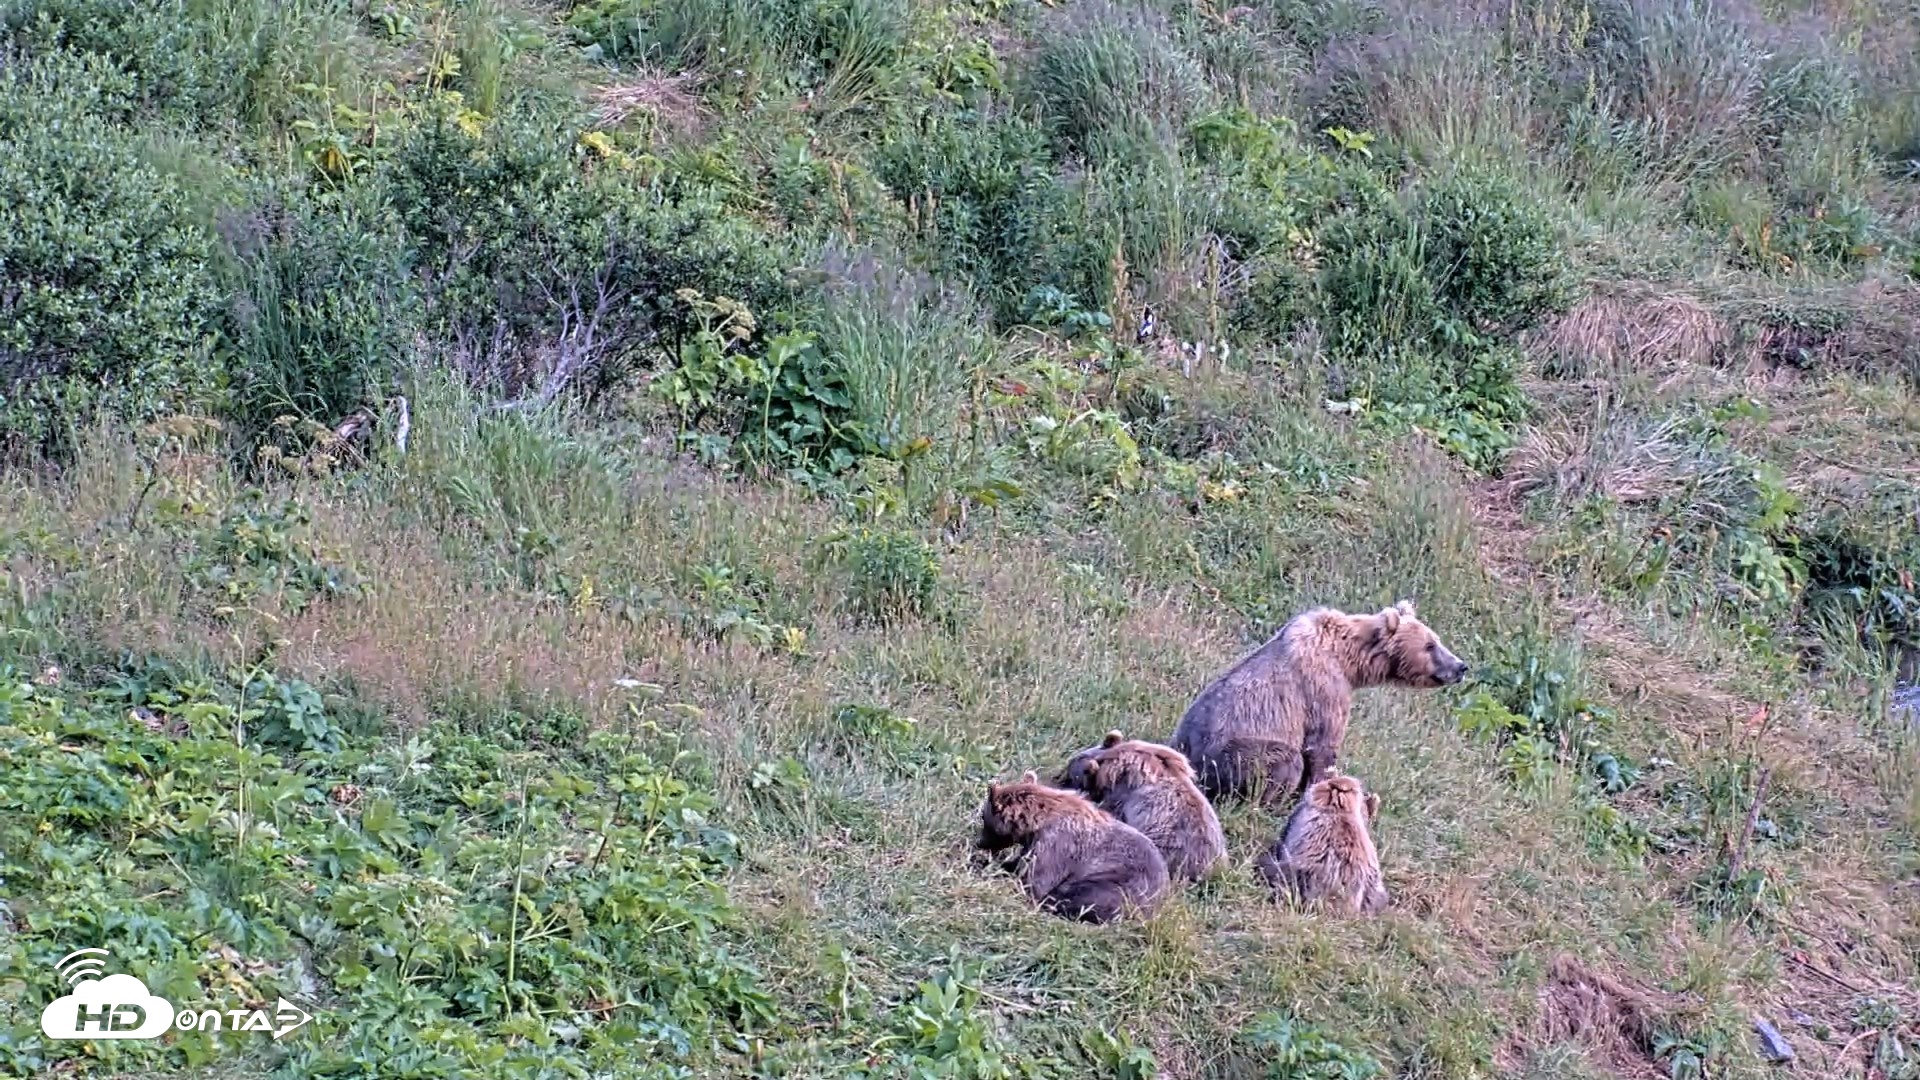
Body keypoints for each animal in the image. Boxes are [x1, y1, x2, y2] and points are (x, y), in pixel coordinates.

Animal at [976, 770, 1171, 923]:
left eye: (984, 818)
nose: (980, 843)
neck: (1037, 824)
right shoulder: (1034, 846)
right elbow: (1019, 863)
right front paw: (985, 863)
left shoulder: (1057, 847)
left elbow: (1034, 883)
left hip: (1120, 881)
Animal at [1169, 599, 1468, 809]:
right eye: (1429, 645)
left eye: (1436, 640)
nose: (1461, 666)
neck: (1350, 661)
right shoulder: (1324, 687)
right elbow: (1322, 746)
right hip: (1229, 755)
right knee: (1284, 760)